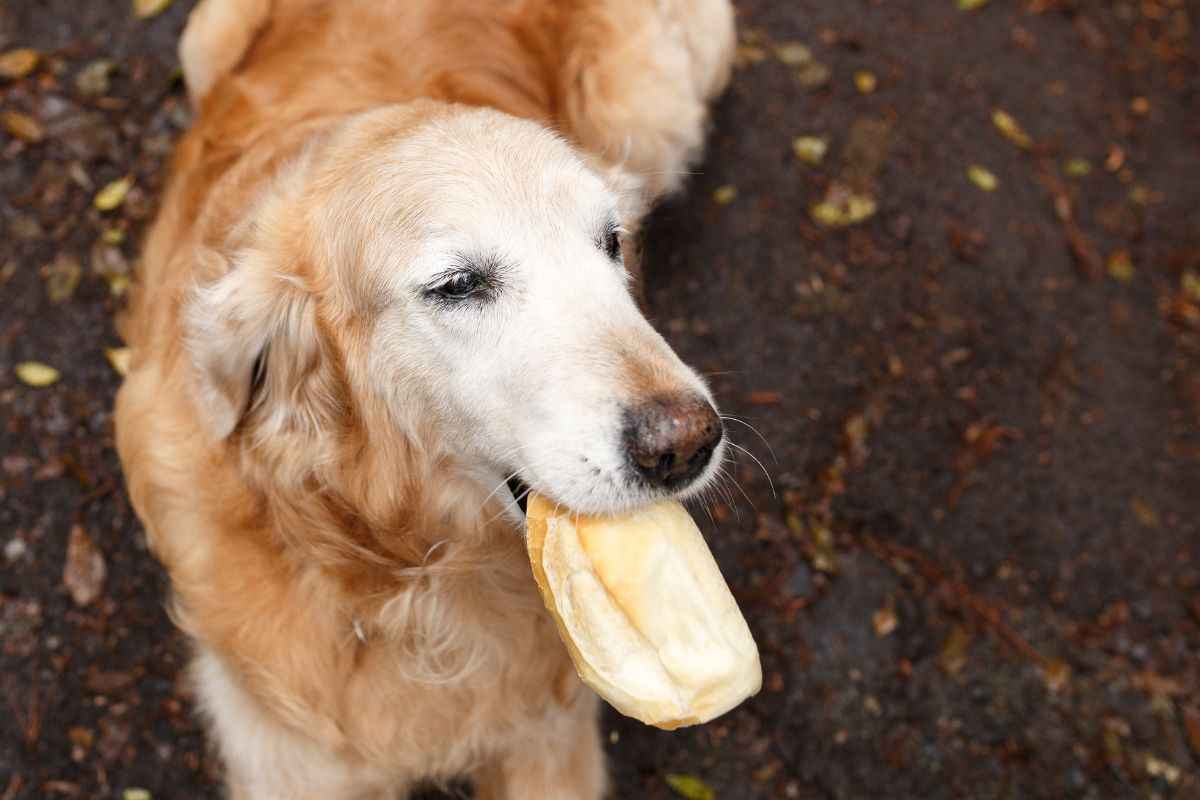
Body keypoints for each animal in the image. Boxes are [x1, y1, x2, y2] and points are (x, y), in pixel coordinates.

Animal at [114, 1, 729, 796]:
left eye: (610, 243)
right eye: (459, 285)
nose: (686, 444)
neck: (406, 568)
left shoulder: (550, 739)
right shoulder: (291, 754)